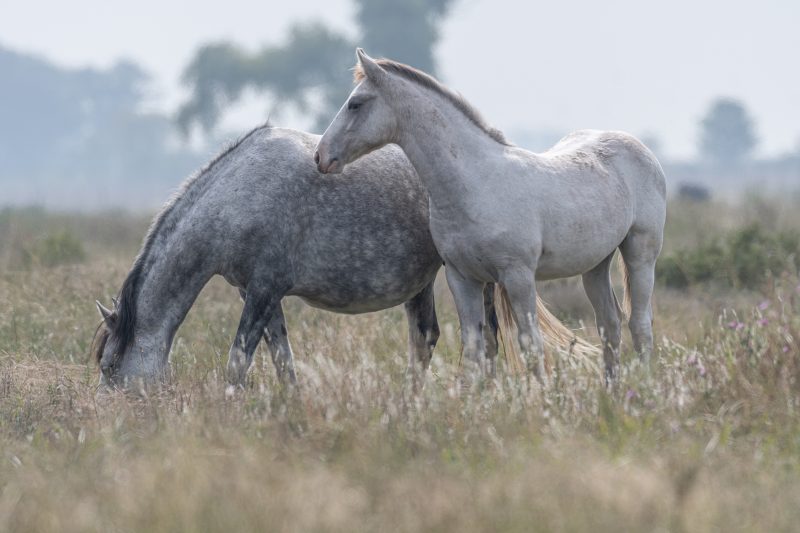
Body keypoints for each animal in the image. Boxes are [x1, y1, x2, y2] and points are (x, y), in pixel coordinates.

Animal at [92, 123, 580, 386]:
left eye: (110, 367)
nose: (113, 425)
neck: (239, 194)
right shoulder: (257, 294)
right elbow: (283, 362)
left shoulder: (264, 290)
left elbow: (237, 363)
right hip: (422, 282)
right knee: (425, 340)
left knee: (488, 341)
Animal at [316, 48, 664, 382]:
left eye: (356, 104)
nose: (322, 156)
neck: (476, 183)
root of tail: (640, 149)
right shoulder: (462, 278)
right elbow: (474, 347)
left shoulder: (518, 276)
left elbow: (530, 344)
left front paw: (543, 397)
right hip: (595, 265)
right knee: (610, 325)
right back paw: (612, 392)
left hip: (640, 254)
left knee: (639, 325)